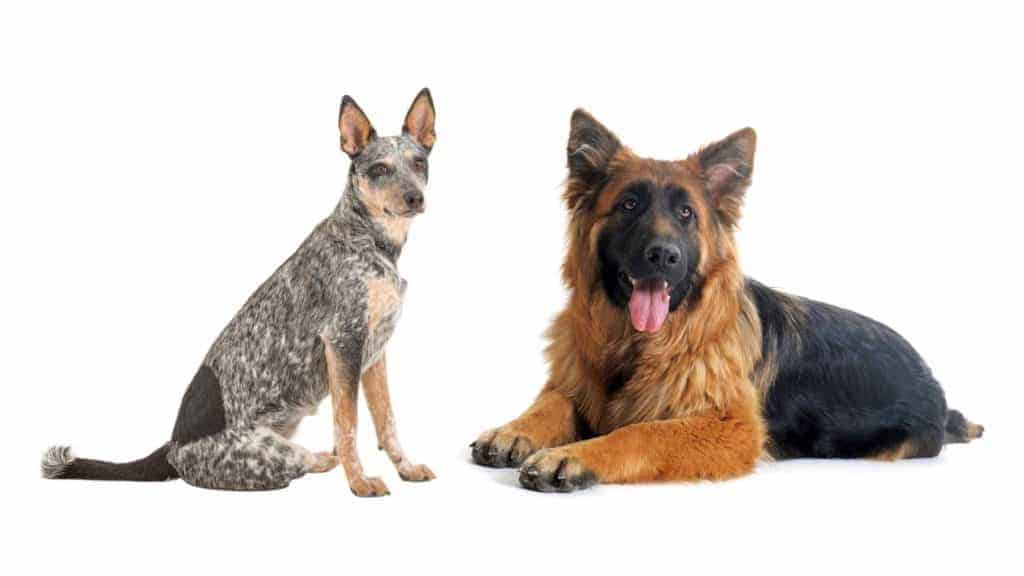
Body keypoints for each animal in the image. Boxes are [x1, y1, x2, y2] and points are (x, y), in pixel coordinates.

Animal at [40, 88, 436, 494]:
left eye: (418, 162)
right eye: (379, 169)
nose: (414, 198)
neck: (371, 242)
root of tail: (173, 447)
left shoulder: (373, 354)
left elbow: (387, 422)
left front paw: (405, 467)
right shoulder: (344, 343)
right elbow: (348, 425)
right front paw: (358, 481)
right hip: (278, 455)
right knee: (305, 459)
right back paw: (327, 459)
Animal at [471, 109, 983, 491]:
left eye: (685, 214)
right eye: (629, 205)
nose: (663, 255)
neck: (637, 345)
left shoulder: (729, 426)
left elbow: (641, 432)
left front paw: (573, 455)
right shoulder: (577, 380)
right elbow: (552, 403)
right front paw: (514, 431)